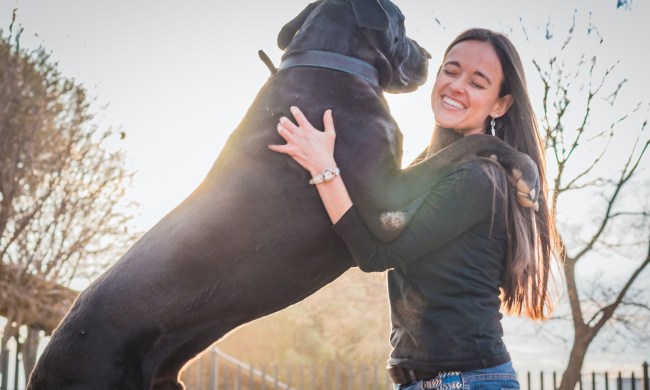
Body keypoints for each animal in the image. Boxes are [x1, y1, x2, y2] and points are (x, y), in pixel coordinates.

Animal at [26, 0, 536, 390]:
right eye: (403, 24)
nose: (431, 55)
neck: (327, 62)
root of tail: (41, 364)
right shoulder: (388, 205)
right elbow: (475, 143)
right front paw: (526, 171)